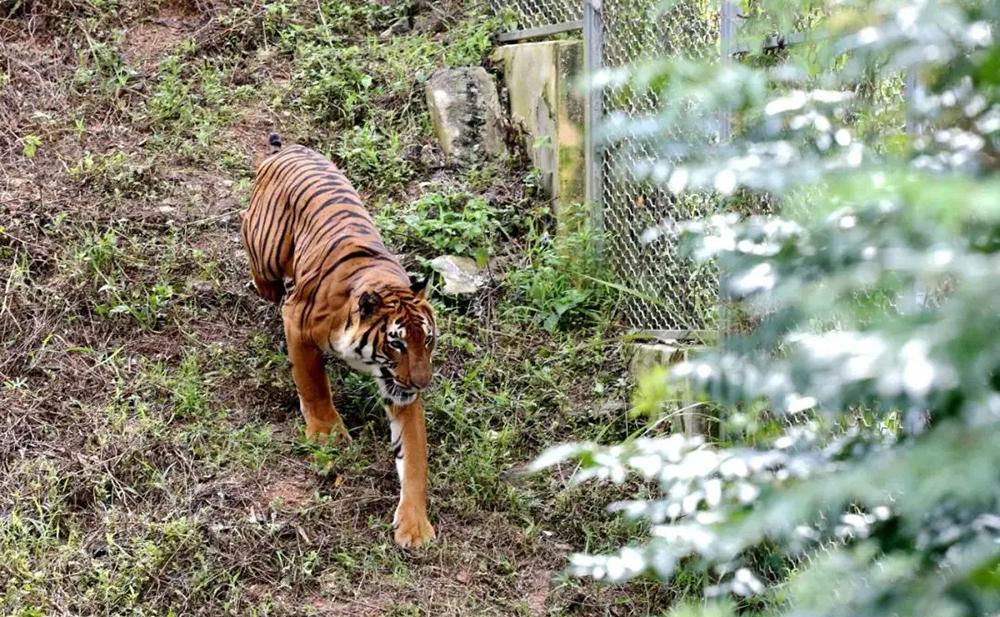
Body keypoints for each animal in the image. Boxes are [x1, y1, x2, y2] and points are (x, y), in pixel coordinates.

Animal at [242, 132, 438, 548]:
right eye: (396, 343)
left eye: (427, 341)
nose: (421, 383)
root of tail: (287, 149)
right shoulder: (297, 324)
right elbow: (314, 383)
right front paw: (327, 434)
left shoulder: (398, 390)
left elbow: (414, 458)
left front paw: (414, 525)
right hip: (268, 247)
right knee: (245, 227)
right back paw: (267, 288)